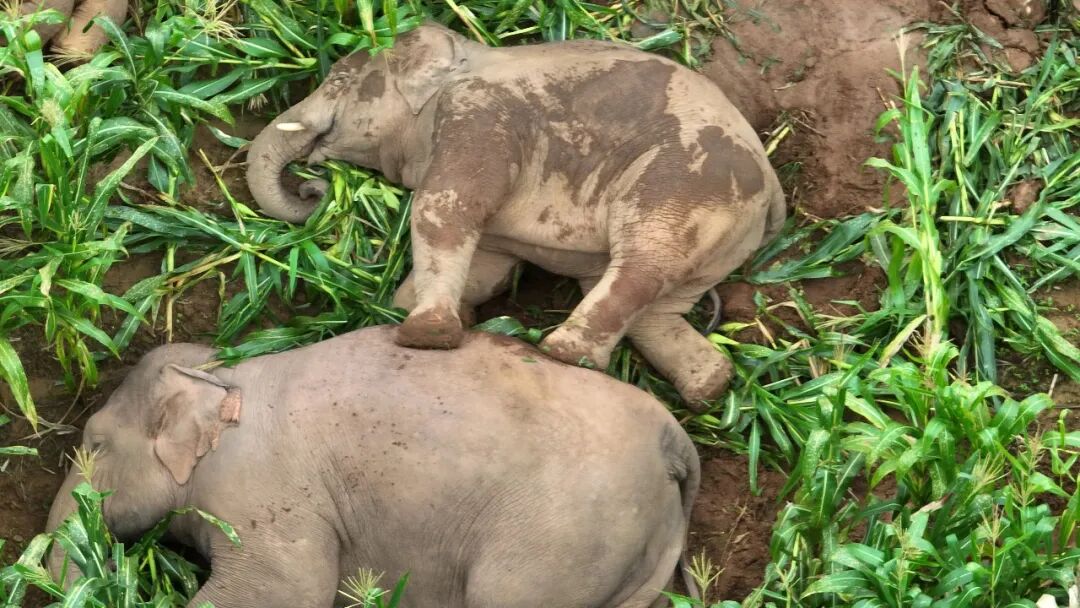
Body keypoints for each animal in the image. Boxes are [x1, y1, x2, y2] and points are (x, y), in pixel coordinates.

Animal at [46, 326, 702, 608]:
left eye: (96, 444)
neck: (222, 370)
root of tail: (671, 437)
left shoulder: (262, 492)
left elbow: (284, 592)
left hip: (561, 538)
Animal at [245, 22, 787, 407]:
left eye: (339, 78)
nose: (313, 186)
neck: (460, 57)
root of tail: (773, 184)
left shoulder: (478, 116)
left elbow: (446, 207)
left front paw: (427, 335)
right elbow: (486, 264)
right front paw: (438, 315)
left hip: (689, 186)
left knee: (643, 263)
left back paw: (561, 354)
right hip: (722, 234)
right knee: (655, 311)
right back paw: (708, 389)